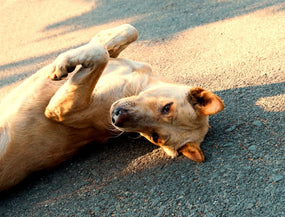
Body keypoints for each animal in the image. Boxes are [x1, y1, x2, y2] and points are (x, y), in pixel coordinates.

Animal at [0, 24, 223, 191]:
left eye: (155, 137)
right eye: (167, 108)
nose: (116, 117)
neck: (133, 87)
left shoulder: (57, 109)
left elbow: (100, 53)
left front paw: (63, 64)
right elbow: (127, 32)